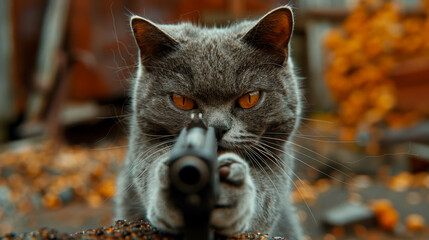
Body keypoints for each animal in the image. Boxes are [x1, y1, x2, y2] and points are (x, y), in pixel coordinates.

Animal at [114, 5, 304, 240]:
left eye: (250, 98)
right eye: (182, 101)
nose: (218, 127)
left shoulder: (279, 162)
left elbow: (267, 195)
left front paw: (232, 193)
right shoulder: (143, 143)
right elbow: (148, 167)